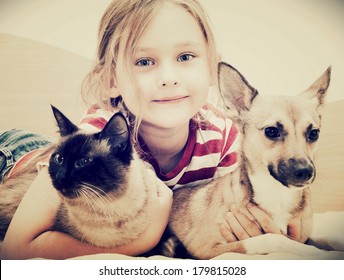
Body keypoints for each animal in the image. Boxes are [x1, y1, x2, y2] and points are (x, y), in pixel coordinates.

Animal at [166, 62, 342, 260]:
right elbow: (272, 238)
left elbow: (326, 238)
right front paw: (312, 252)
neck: (277, 193)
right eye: (271, 131)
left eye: (314, 133)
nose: (305, 171)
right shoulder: (206, 247)